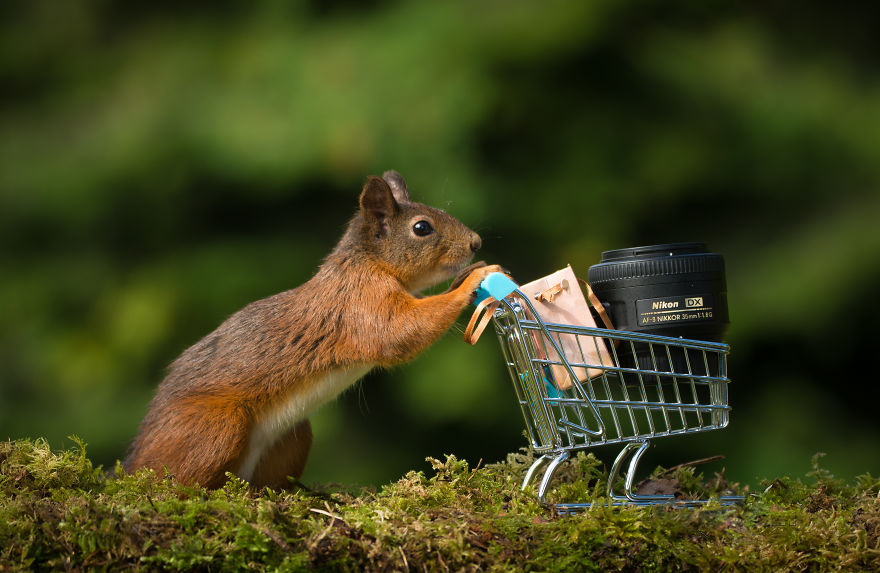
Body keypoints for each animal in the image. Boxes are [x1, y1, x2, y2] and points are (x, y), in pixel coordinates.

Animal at [124, 171, 502, 489]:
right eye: (422, 228)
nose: (476, 243)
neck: (367, 263)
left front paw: (468, 274)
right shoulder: (360, 304)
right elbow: (400, 333)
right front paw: (472, 281)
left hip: (292, 436)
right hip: (214, 428)